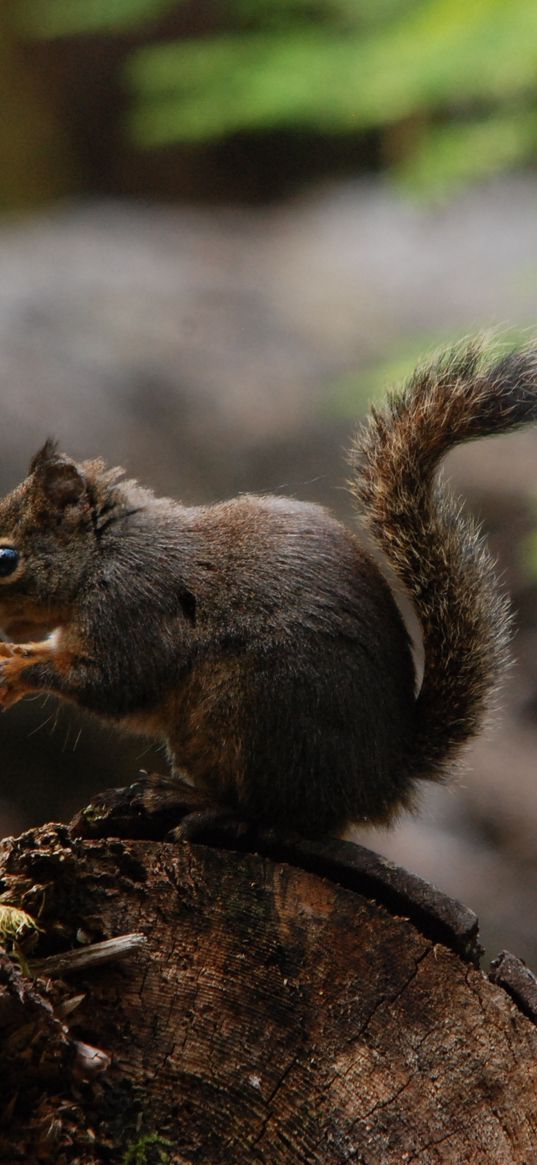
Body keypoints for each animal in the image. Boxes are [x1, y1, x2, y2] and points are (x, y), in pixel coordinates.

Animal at [0, 337, 533, 838]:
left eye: (6, 558)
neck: (103, 554)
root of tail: (381, 781)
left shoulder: (132, 609)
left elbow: (112, 682)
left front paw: (21, 667)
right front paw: (19, 655)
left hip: (257, 714)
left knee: (277, 814)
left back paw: (201, 805)